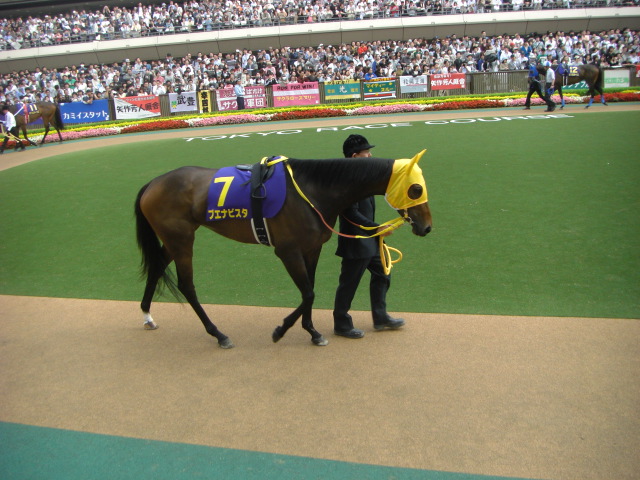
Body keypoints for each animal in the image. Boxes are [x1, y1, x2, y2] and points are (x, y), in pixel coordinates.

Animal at [134, 151, 433, 349]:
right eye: (416, 189)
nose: (427, 227)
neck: (312, 191)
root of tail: (153, 183)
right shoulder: (288, 251)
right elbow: (308, 293)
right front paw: (281, 330)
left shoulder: (312, 249)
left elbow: (310, 290)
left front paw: (312, 332)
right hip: (182, 239)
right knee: (187, 285)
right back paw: (219, 334)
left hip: (173, 239)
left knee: (157, 267)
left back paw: (148, 315)